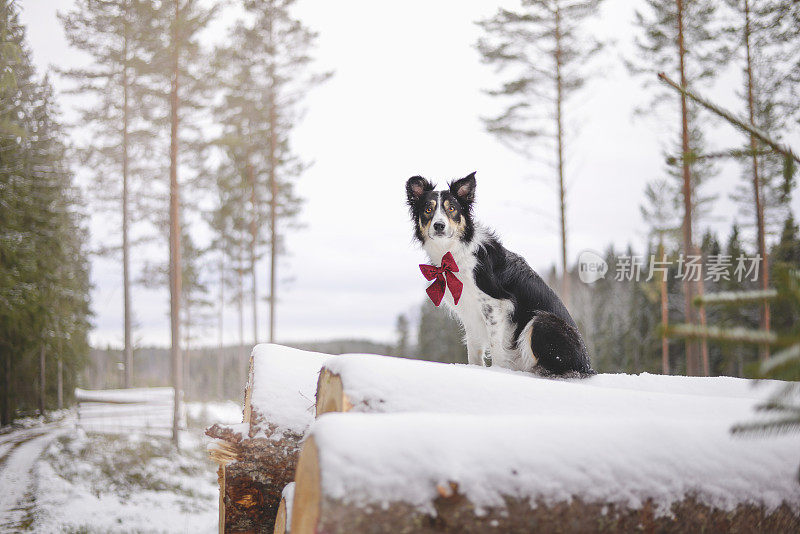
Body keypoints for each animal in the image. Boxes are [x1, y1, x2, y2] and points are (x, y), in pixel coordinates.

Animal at [410, 173, 592, 376]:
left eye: (451, 209)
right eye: (428, 209)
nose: (439, 226)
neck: (455, 252)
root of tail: (586, 365)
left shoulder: (495, 305)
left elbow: (496, 346)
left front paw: (498, 372)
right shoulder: (469, 312)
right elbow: (474, 350)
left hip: (541, 320)